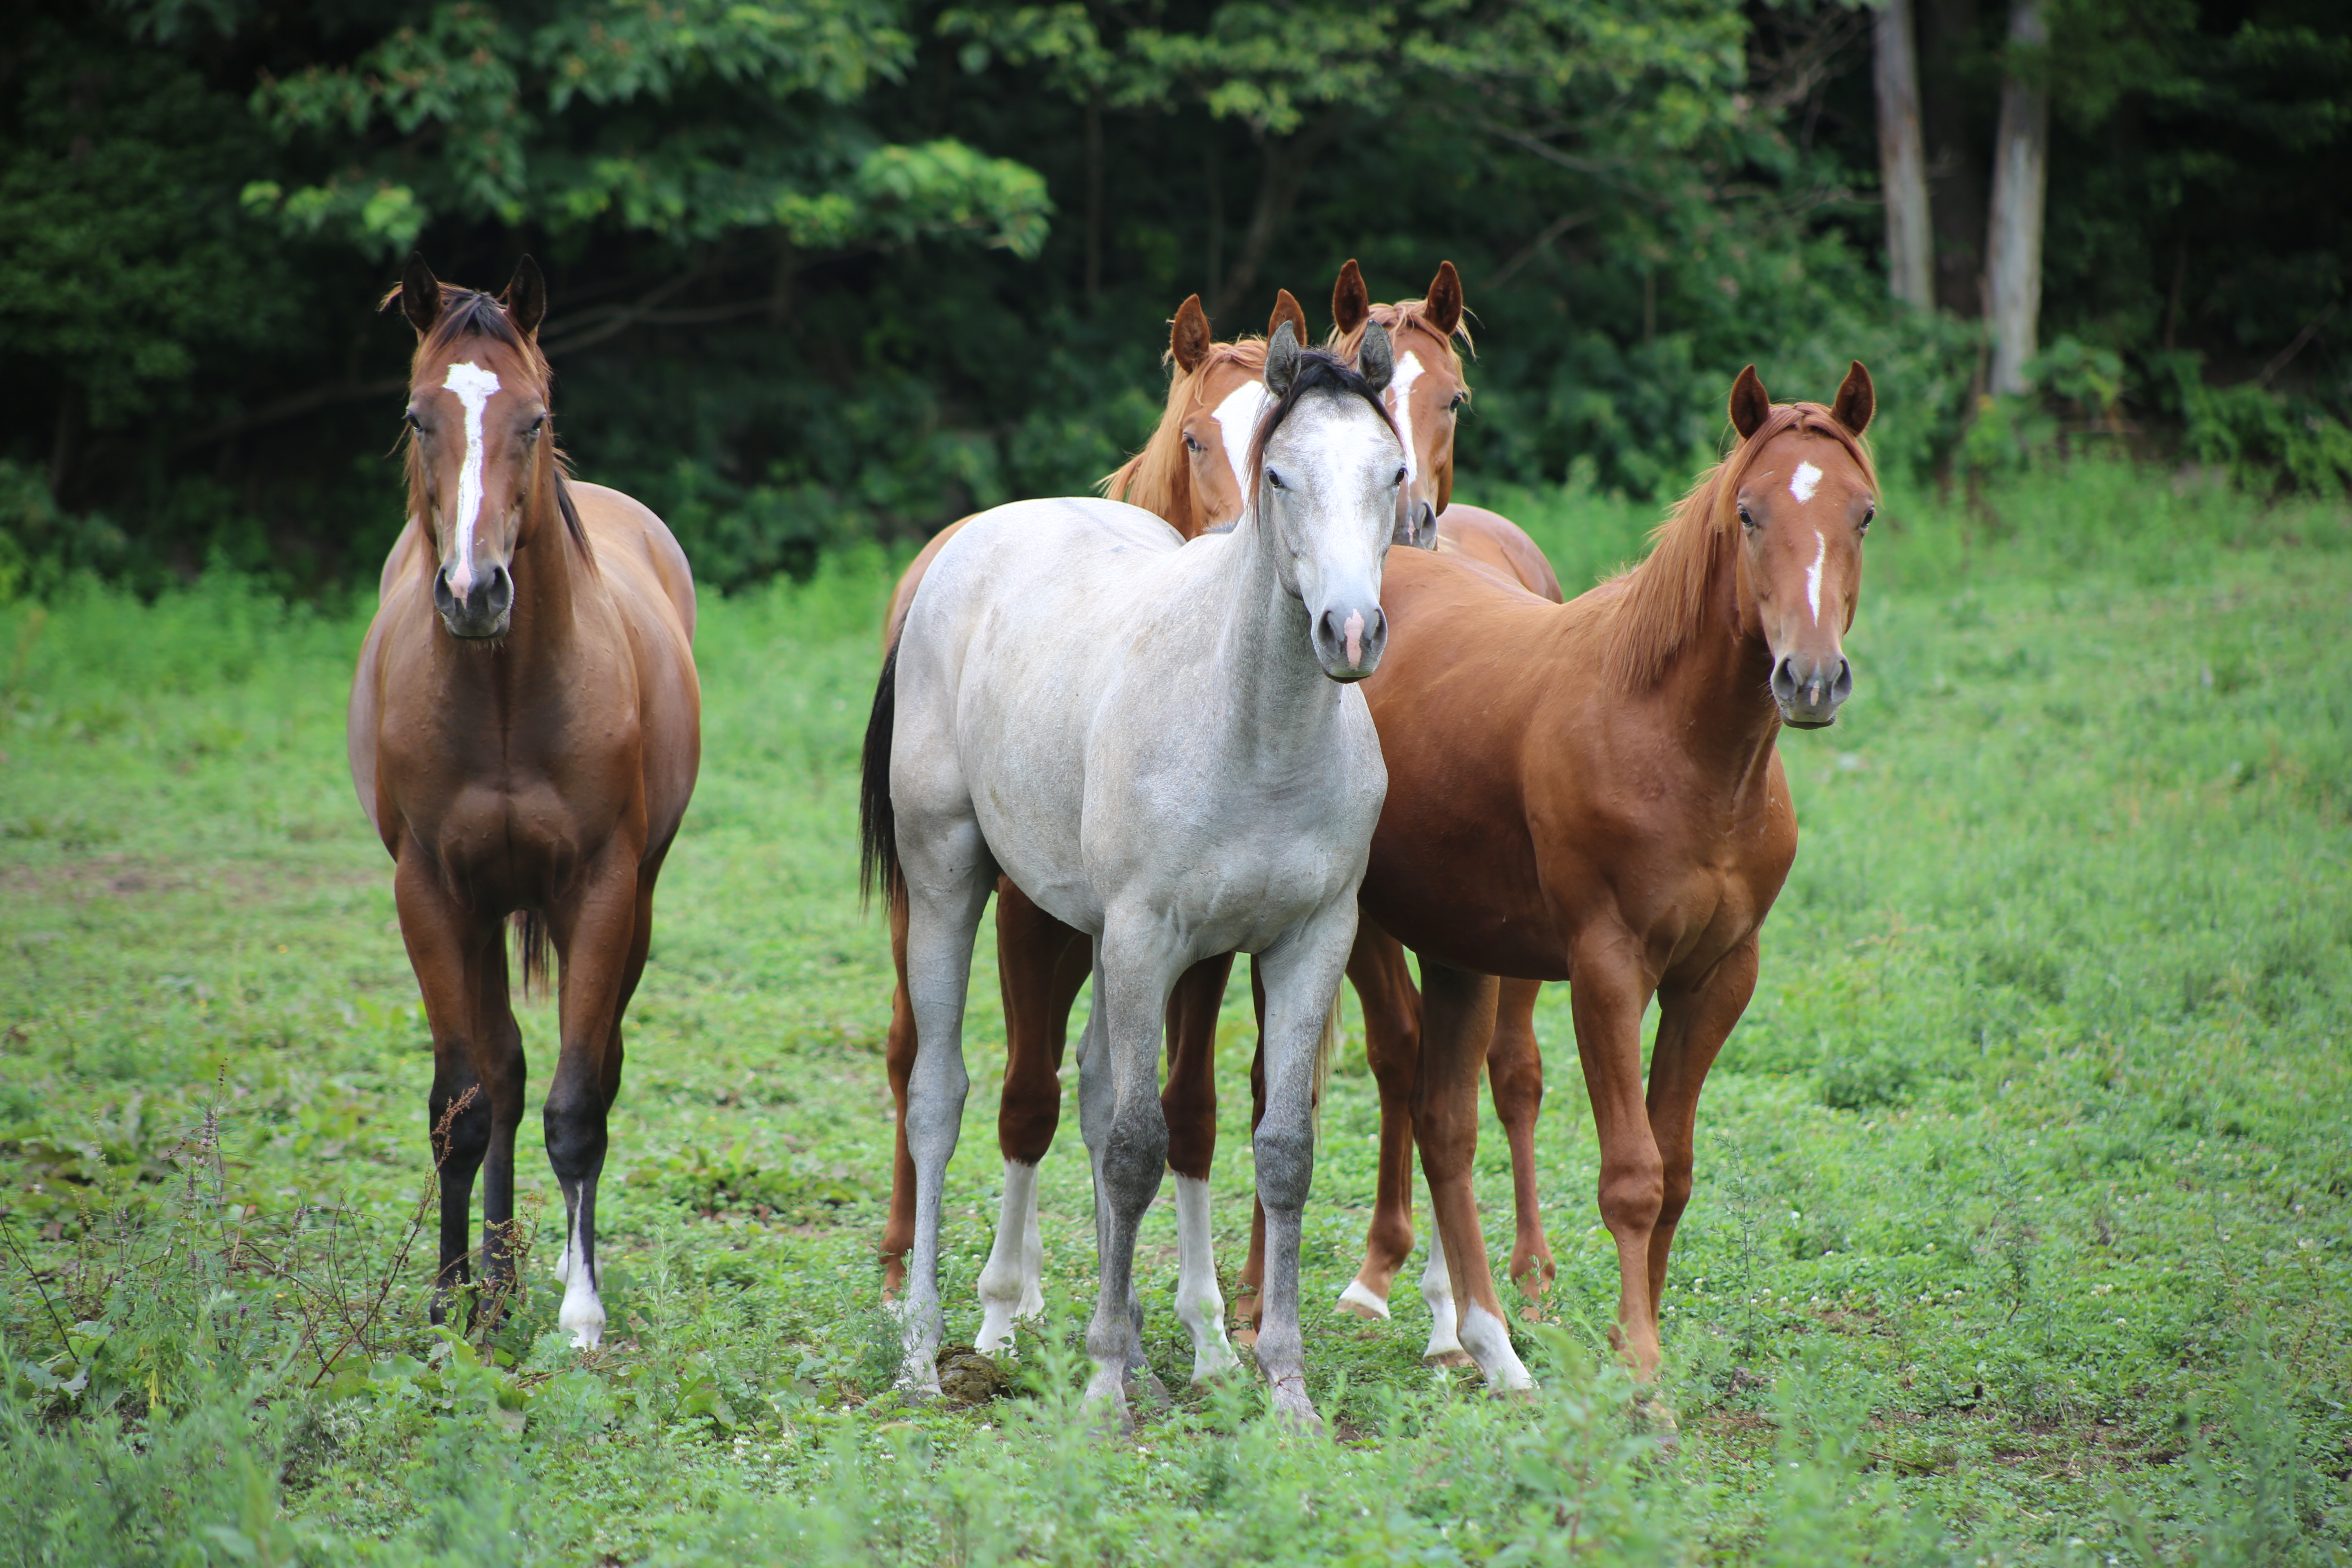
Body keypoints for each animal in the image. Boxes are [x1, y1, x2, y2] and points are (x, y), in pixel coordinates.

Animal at [345, 255, 696, 1354]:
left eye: (533, 419)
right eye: (418, 418)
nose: (474, 591)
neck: (501, 692)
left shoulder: (602, 891)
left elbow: (578, 1103)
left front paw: (580, 1312)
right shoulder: (431, 893)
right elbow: (463, 1100)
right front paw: (450, 1300)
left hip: (633, 905)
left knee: (588, 1068)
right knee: (501, 1071)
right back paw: (495, 1283)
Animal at [875, 324, 1401, 1429]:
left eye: (1393, 472)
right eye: (1280, 476)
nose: (1349, 631)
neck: (1253, 733)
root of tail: (965, 545)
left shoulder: (1307, 941)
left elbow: (1277, 1151)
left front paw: (1281, 1385)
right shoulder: (1145, 935)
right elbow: (1132, 1150)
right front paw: (1106, 1384)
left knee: (1087, 1091)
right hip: (950, 880)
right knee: (938, 1098)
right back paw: (921, 1353)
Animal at [1345, 359, 1872, 1382]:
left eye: (1862, 513)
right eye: (1749, 513)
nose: (1811, 678)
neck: (1679, 745)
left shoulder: (1718, 978)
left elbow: (1676, 1172)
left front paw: (1642, 1349)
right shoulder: (1608, 971)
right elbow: (1631, 1176)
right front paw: (1642, 1384)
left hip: (1460, 953)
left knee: (1445, 1123)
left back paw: (1488, 1346)